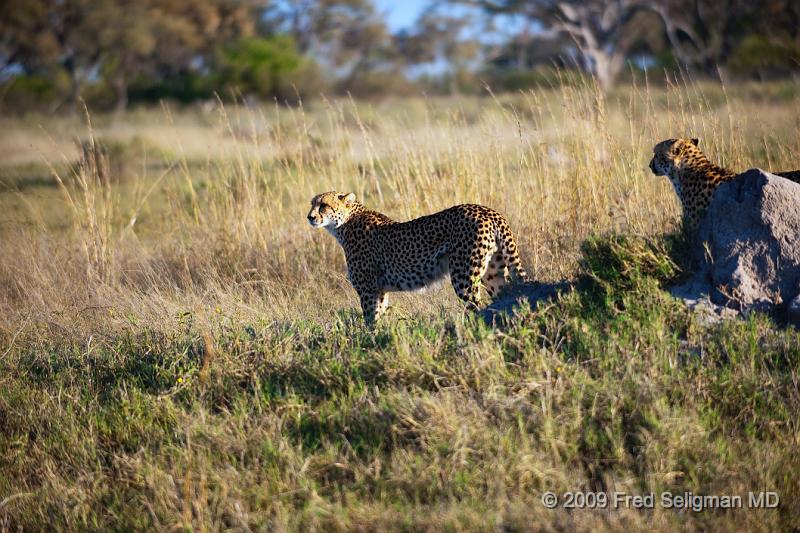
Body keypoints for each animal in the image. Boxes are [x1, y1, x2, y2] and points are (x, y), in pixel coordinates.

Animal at [310, 191, 528, 324]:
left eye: (323, 205)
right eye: (312, 204)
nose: (310, 217)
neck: (344, 224)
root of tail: (488, 211)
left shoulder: (368, 290)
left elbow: (371, 321)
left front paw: (369, 344)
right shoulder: (380, 291)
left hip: (463, 277)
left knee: (475, 307)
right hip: (493, 271)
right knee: (504, 297)